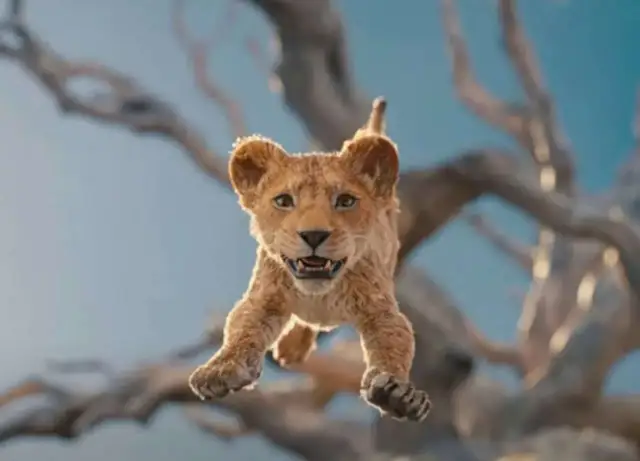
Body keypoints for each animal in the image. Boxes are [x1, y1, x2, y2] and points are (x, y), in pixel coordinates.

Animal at [188, 99, 431, 422]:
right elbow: (241, 330)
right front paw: (219, 370)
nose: (314, 235)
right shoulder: (263, 298)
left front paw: (397, 394)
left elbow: (394, 344)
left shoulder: (381, 310)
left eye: (345, 201)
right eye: (283, 201)